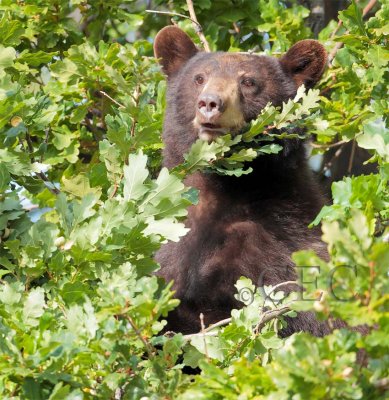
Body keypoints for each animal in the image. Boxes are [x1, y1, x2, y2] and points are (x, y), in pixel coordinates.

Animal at [153, 26, 342, 336]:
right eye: (199, 77)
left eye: (249, 81)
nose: (210, 103)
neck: (226, 189)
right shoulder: (171, 235)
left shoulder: (273, 245)